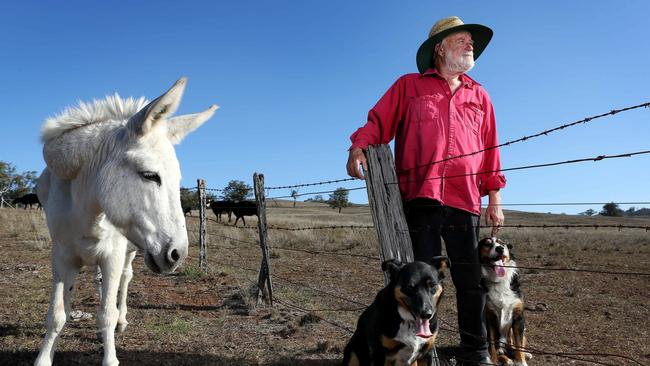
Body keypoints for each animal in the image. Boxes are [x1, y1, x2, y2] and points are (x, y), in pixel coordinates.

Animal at [478, 237, 528, 366]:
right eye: (487, 244)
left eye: (502, 243)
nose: (500, 248)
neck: (499, 280)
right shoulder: (489, 317)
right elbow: (491, 346)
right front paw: (493, 361)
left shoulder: (518, 317)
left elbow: (519, 344)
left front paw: (521, 362)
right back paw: (505, 358)